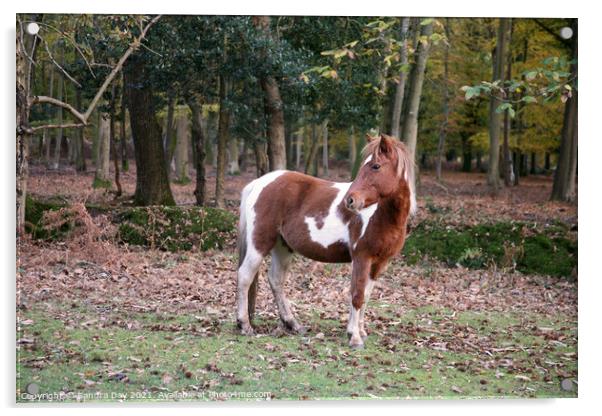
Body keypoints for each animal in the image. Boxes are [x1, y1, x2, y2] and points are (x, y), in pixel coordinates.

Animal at [237, 132, 414, 348]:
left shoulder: (379, 263)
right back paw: (245, 325)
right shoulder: (361, 258)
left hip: (283, 247)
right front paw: (355, 338)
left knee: (276, 280)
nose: (350, 201)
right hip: (259, 244)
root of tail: (259, 183)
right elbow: (357, 295)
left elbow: (366, 296)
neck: (380, 215)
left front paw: (360, 331)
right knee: (245, 276)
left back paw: (292, 324)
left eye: (376, 166)